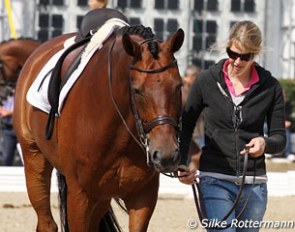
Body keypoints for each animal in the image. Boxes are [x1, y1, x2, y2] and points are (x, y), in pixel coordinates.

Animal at [13, 23, 185, 230]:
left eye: (179, 86)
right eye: (137, 90)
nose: (167, 155)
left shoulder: (143, 195)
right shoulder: (80, 195)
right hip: (34, 159)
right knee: (47, 222)